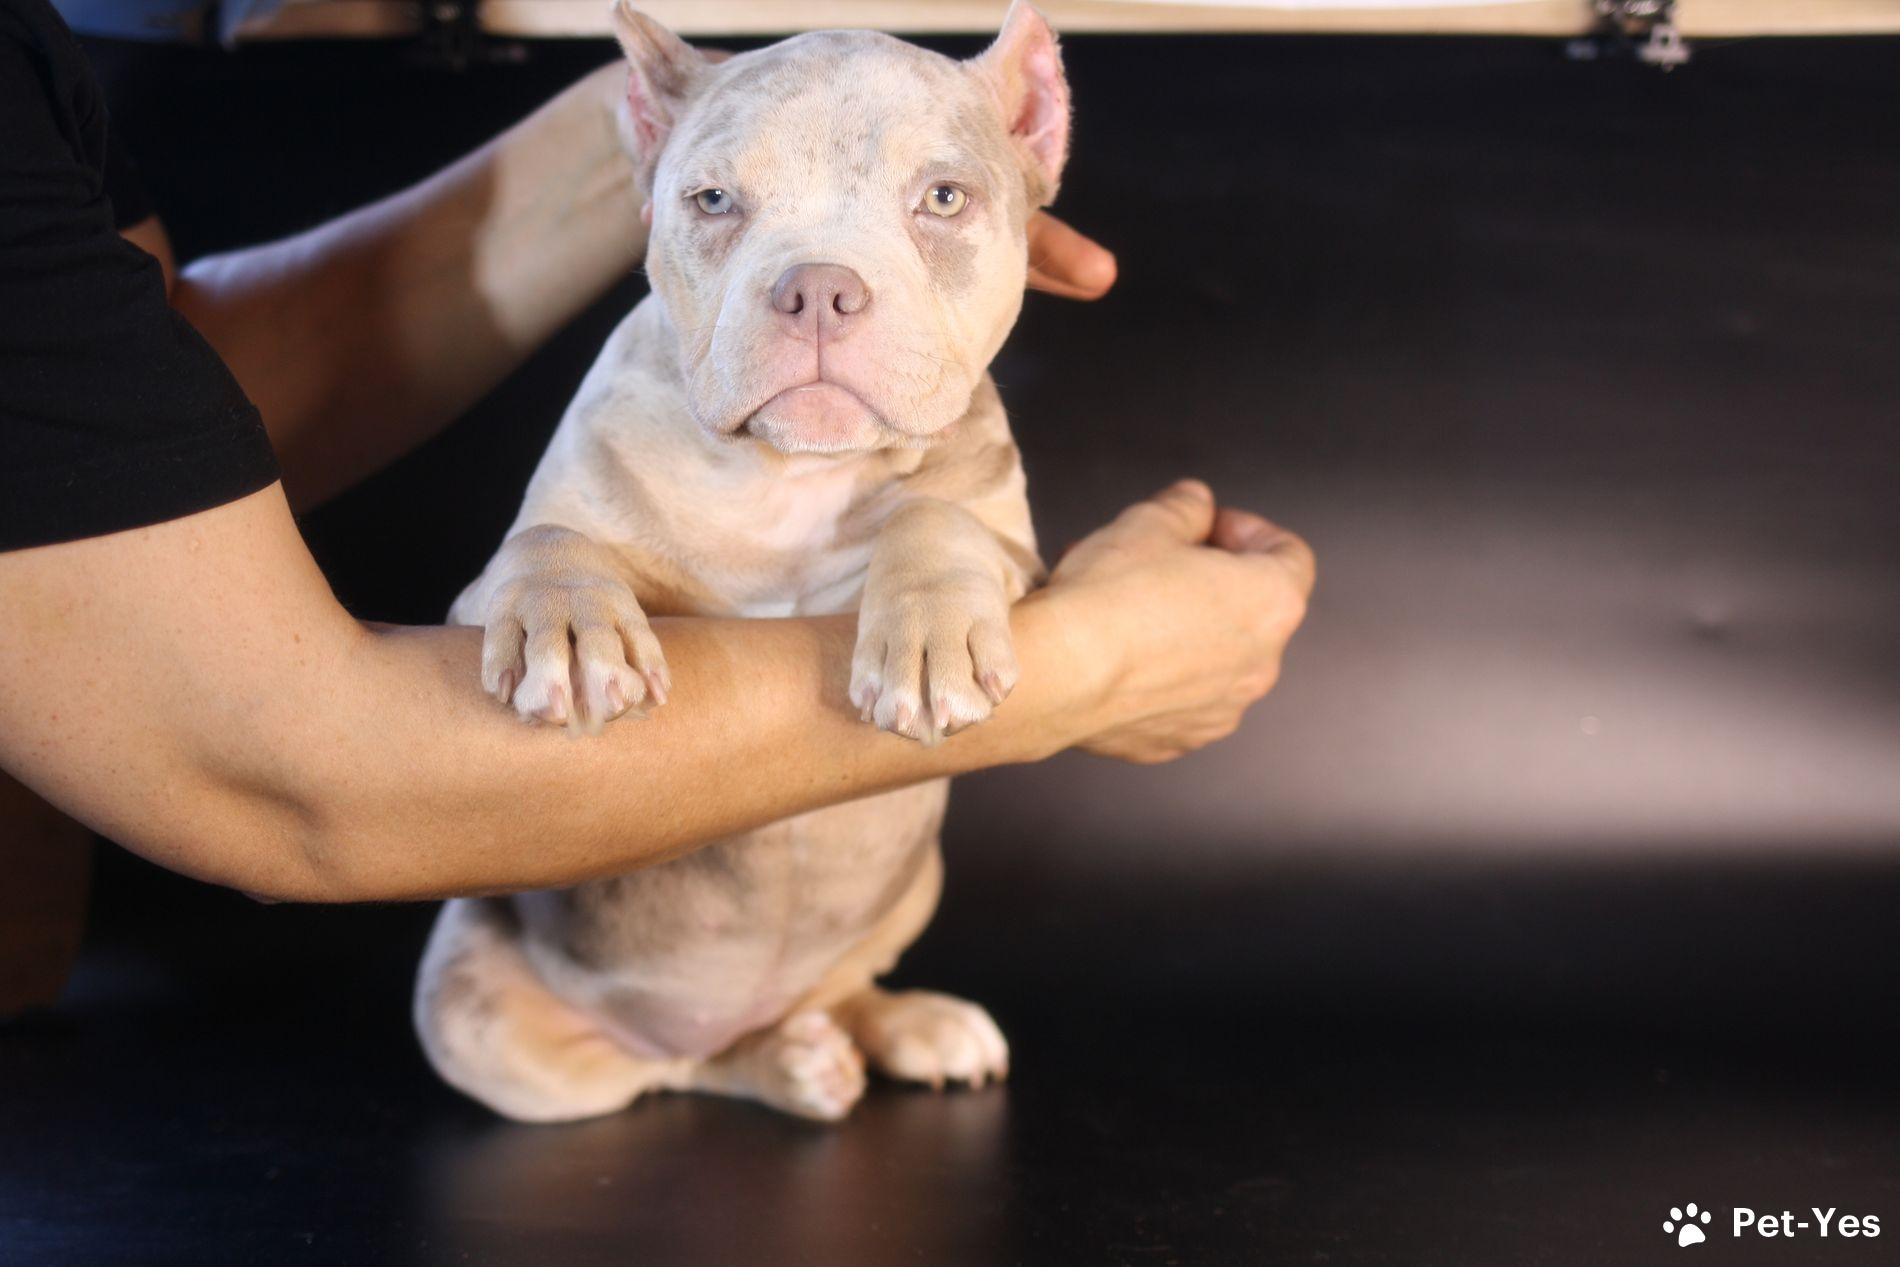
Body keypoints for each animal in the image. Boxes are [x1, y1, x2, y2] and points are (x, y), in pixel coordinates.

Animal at [413, 0, 1069, 1122]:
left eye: (944, 199)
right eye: (713, 199)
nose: (818, 287)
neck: (786, 476)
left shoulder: (1019, 553)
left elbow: (936, 518)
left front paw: (925, 636)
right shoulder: (476, 593)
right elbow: (547, 541)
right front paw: (572, 626)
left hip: (908, 894)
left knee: (836, 990)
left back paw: (901, 1027)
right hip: (476, 1018)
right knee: (671, 1072)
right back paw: (789, 1065)